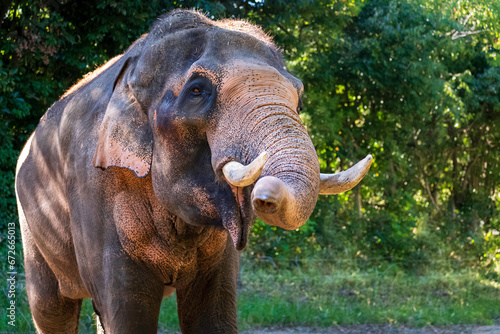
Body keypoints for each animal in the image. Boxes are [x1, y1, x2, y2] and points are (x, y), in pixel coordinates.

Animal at [15, 8, 372, 334]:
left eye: (299, 97)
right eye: (198, 90)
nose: (265, 197)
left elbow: (211, 312)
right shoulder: (94, 186)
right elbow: (126, 312)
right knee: (51, 310)